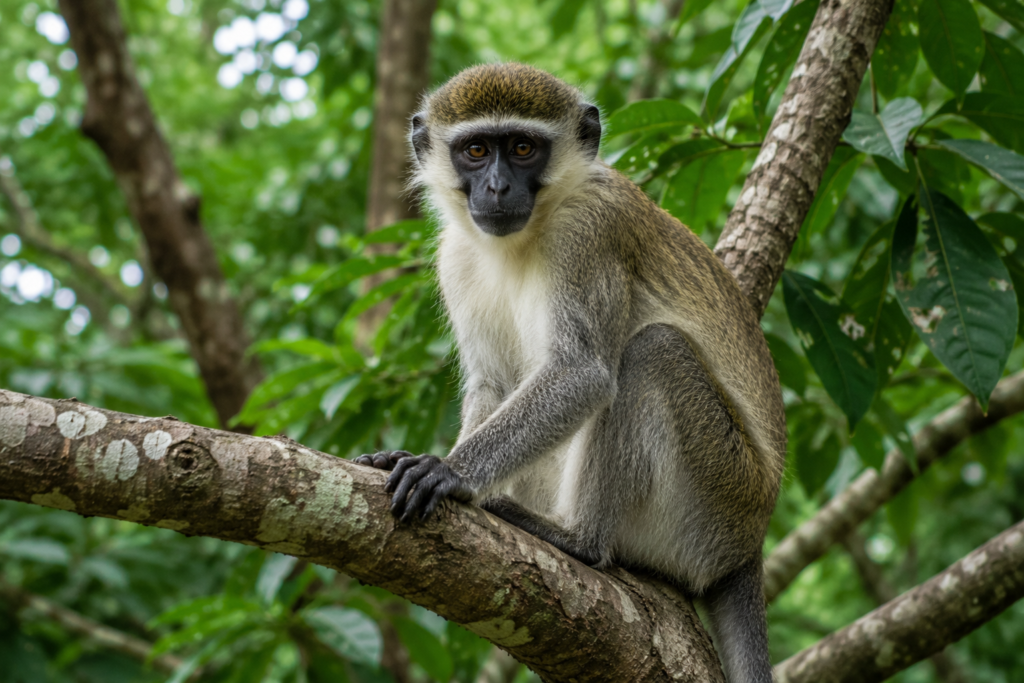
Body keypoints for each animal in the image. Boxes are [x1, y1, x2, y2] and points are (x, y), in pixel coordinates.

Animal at [354, 63, 786, 683]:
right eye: (476, 150)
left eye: (524, 148)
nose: (497, 188)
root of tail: (752, 542)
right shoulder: (455, 256)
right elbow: (493, 383)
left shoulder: (591, 231)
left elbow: (583, 374)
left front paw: (449, 471)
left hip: (720, 497)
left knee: (653, 353)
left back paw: (578, 539)